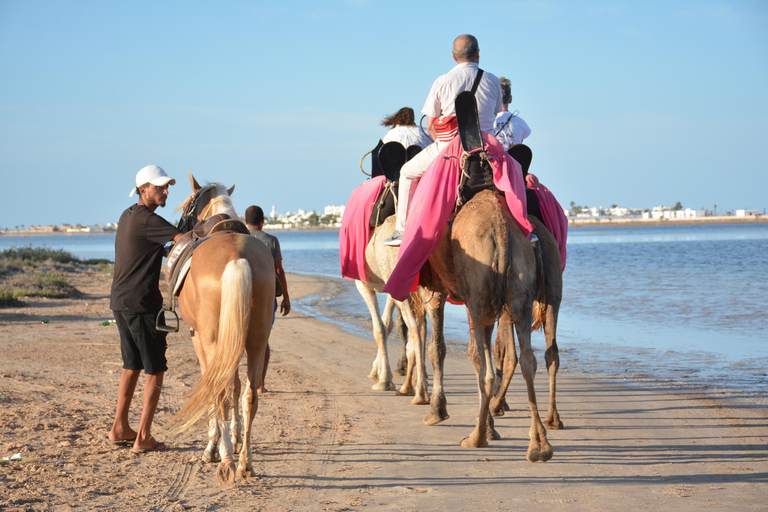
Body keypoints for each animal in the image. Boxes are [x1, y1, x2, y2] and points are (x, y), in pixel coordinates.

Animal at [170, 172, 274, 484]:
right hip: (256, 340)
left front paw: (215, 443)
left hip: (213, 338)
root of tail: (237, 257)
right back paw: (245, 462)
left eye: (187, 205)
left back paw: (224, 458)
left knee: (219, 391)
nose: (179, 228)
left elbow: (216, 388)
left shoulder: (199, 338)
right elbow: (236, 386)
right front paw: (236, 438)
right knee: (250, 394)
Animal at [492, 214, 564, 430]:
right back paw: (553, 418)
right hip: (553, 289)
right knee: (552, 352)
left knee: (513, 356)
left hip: (512, 299)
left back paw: (496, 405)